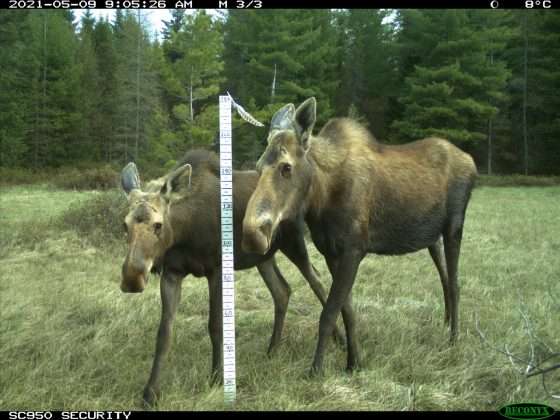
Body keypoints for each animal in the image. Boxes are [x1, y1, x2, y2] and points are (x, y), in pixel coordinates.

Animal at [120, 149, 344, 406]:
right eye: (124, 225)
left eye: (158, 225)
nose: (132, 277)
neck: (184, 233)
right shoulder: (172, 273)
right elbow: (164, 333)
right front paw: (150, 392)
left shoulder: (216, 268)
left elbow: (216, 326)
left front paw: (217, 377)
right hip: (262, 256)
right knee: (282, 291)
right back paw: (273, 349)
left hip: (293, 242)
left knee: (316, 280)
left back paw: (340, 340)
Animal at [242, 97, 476, 374]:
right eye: (258, 167)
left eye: (286, 167)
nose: (252, 232)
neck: (320, 199)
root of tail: (472, 162)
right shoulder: (331, 253)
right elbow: (347, 311)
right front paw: (354, 362)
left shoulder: (353, 250)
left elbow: (329, 313)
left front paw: (316, 370)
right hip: (433, 238)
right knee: (445, 279)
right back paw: (446, 325)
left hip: (454, 227)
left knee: (456, 283)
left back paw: (454, 339)